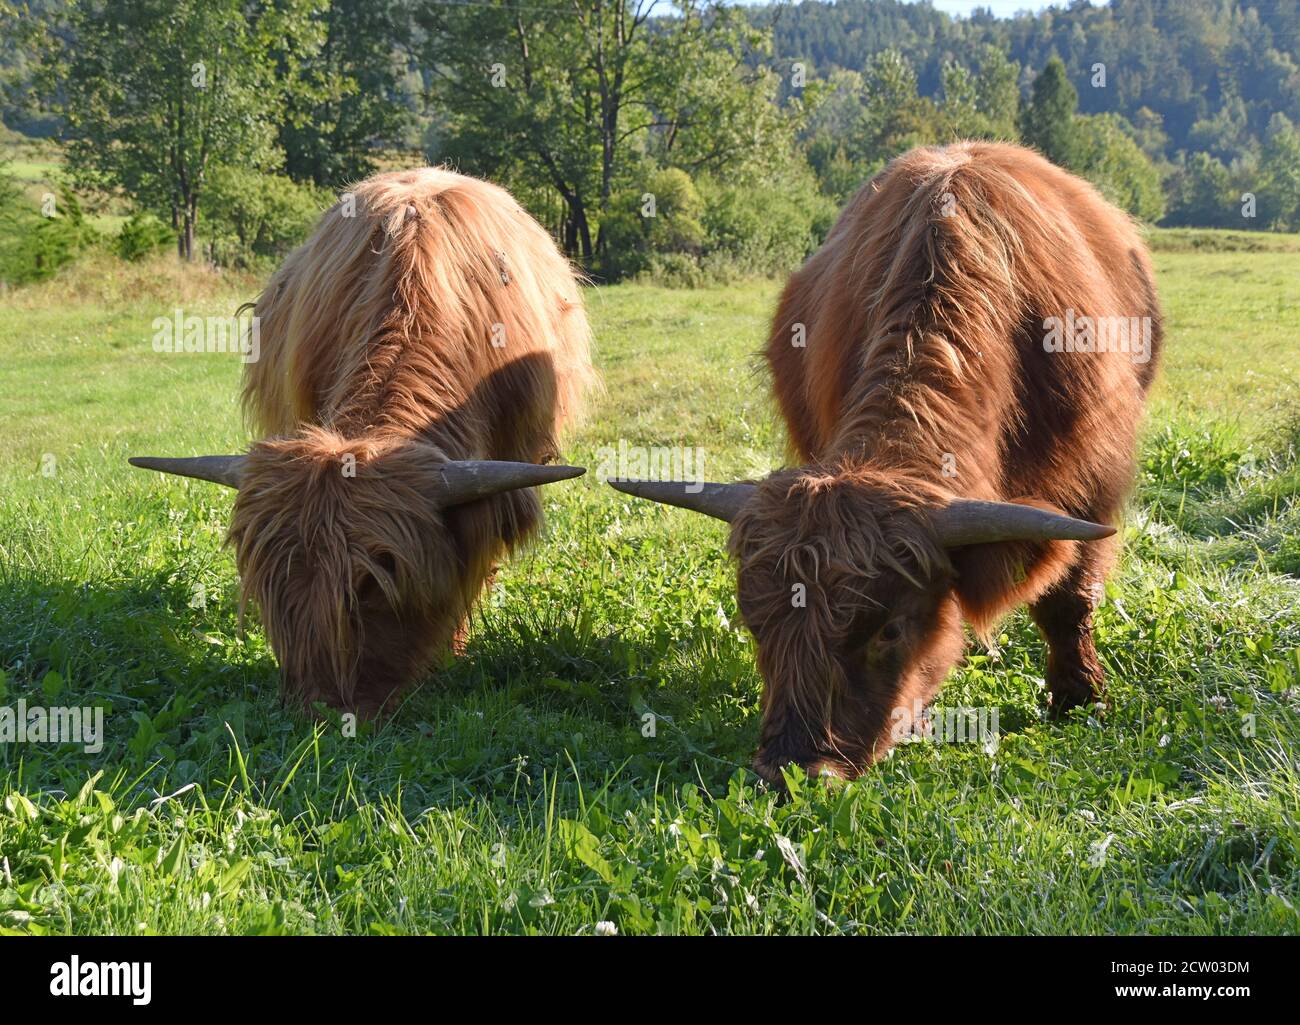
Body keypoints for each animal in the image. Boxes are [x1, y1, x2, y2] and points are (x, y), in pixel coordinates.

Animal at [611, 142, 1162, 781]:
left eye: (889, 629)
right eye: (754, 622)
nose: (793, 772)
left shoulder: (1094, 485)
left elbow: (1069, 598)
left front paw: (1079, 698)